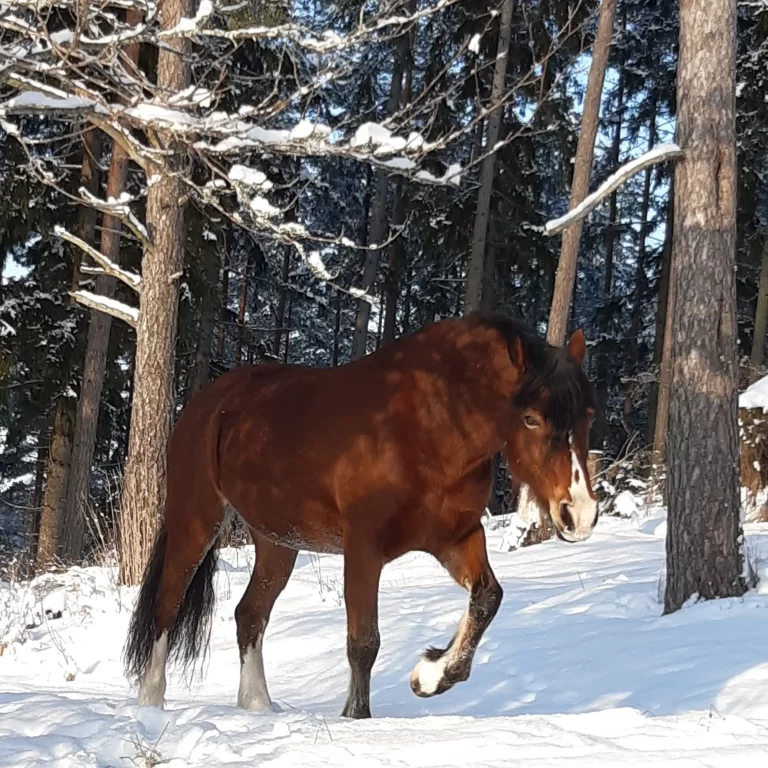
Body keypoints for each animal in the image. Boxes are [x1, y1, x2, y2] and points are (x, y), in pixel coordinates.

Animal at [123, 312, 596, 720]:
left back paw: (257, 706)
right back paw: (151, 703)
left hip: (277, 542)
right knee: (167, 606)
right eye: (531, 418)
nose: (581, 514)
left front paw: (430, 675)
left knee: (249, 615)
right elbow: (364, 641)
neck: (427, 425)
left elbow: (487, 599)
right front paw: (358, 717)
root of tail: (205, 404)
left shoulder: (457, 537)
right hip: (196, 519)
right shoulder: (364, 548)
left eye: (588, 413)